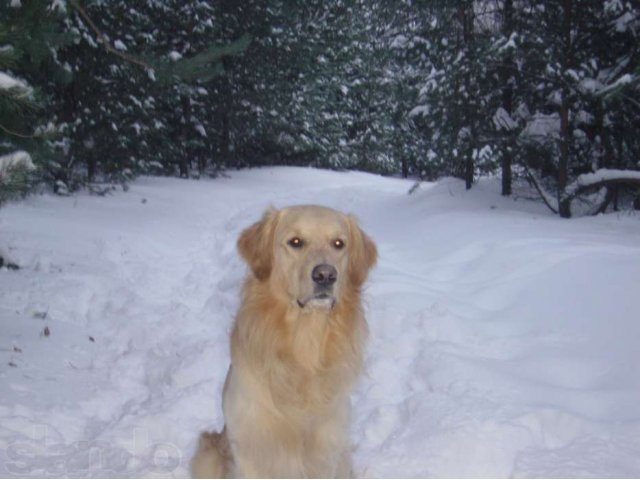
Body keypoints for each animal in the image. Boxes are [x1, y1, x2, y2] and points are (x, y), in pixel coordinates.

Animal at [192, 204, 378, 478]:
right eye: (295, 242)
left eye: (338, 243)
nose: (326, 274)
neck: (304, 343)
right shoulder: (251, 450)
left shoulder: (327, 451)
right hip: (209, 455)